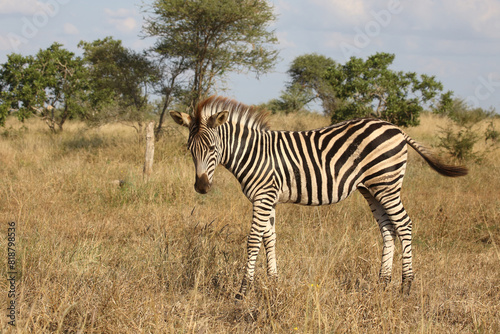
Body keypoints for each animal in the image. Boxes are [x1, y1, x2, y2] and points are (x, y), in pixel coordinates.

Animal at [169, 95, 468, 298]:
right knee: (388, 229)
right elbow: (270, 238)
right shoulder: (269, 197)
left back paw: (406, 286)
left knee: (404, 225)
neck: (253, 153)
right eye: (189, 148)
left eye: (212, 147)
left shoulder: (263, 197)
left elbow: (253, 241)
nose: (201, 188)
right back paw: (383, 283)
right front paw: (273, 282)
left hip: (387, 184)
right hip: (372, 188)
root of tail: (397, 129)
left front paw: (243, 291)